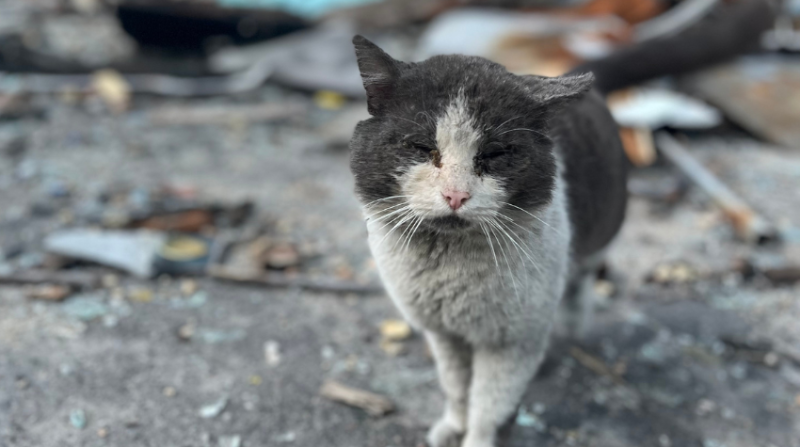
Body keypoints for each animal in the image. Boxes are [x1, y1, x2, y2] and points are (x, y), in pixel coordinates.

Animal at [346, 36, 628, 447]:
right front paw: (452, 427)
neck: (449, 267)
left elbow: (490, 405)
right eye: (421, 148)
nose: (455, 195)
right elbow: (457, 388)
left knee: (579, 290)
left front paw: (477, 438)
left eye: (495, 154)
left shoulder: (511, 344)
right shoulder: (445, 334)